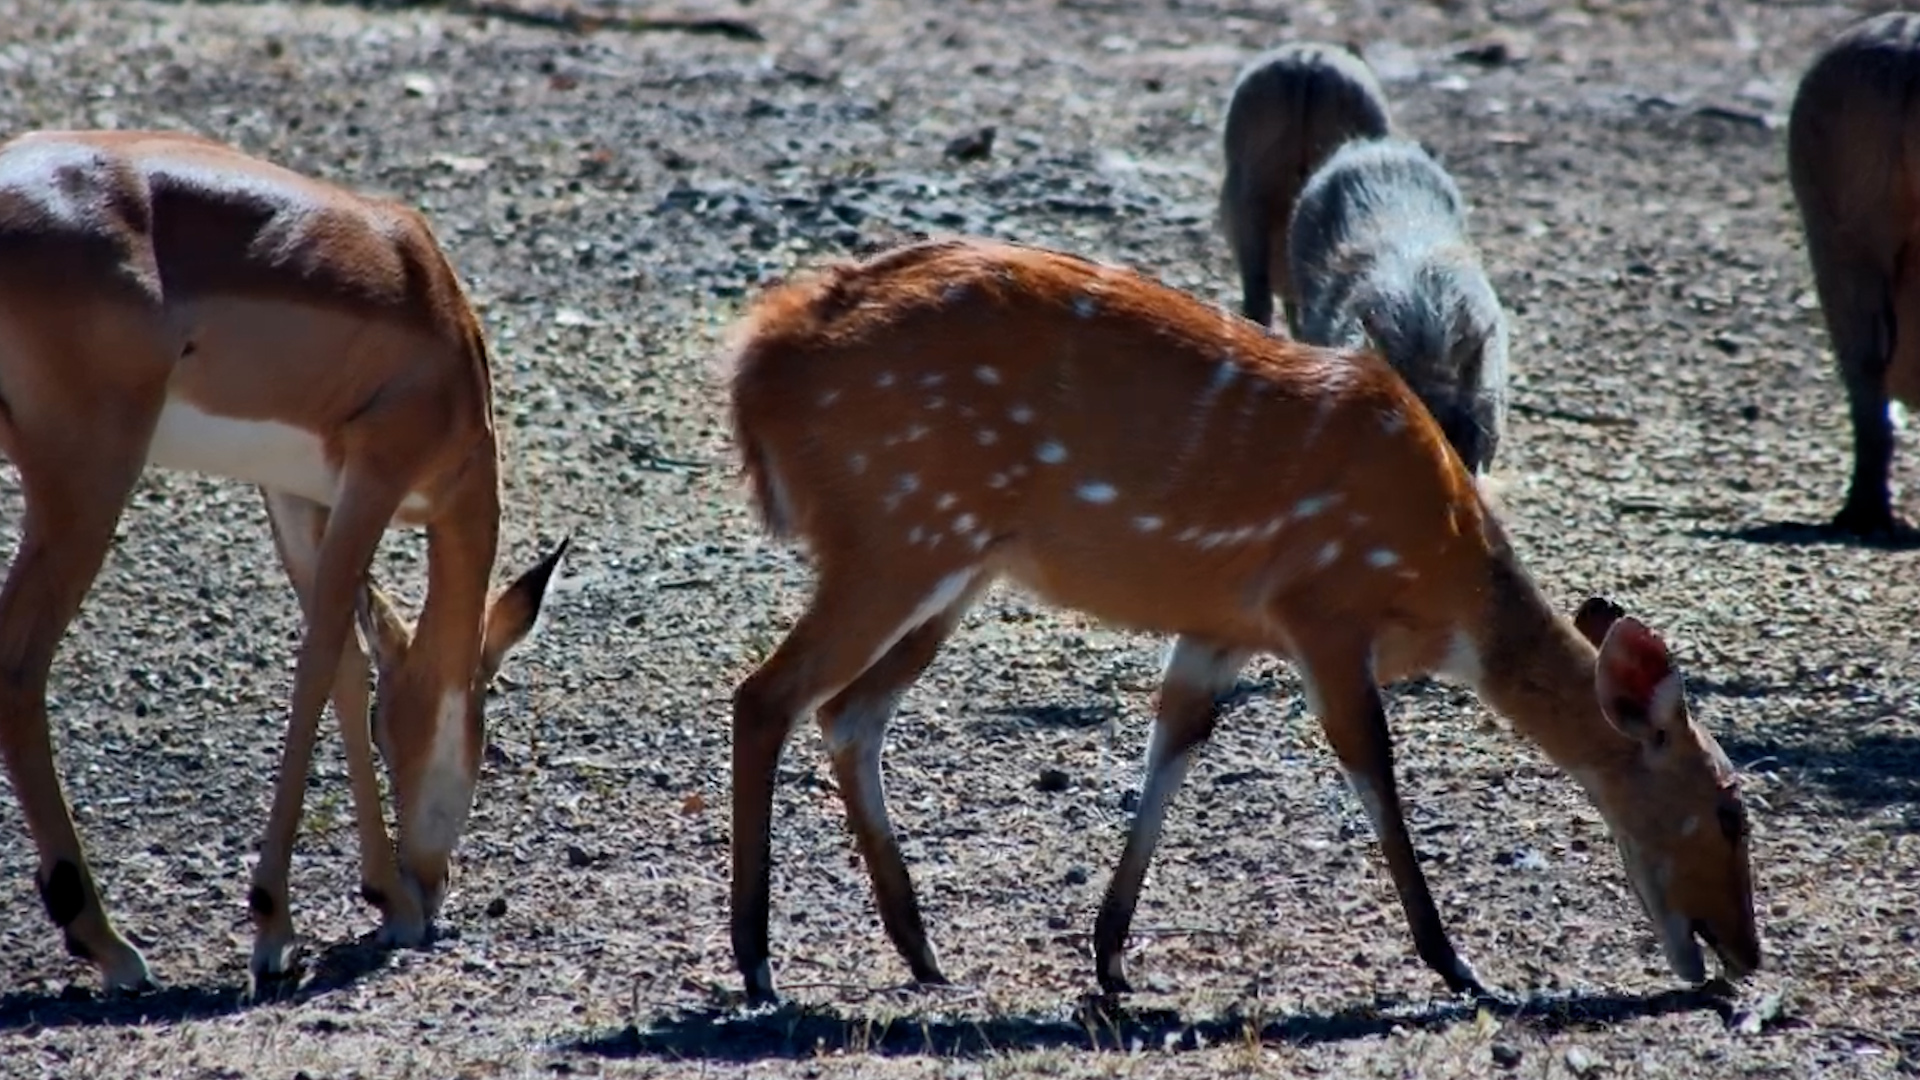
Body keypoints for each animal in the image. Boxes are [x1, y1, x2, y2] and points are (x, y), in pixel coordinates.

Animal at [0, 129, 566, 992]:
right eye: (483, 727)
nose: (433, 883)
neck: (432, 305)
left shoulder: (296, 496)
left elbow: (346, 668)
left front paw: (386, 900)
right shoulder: (375, 479)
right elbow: (319, 661)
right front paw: (276, 924)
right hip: (87, 482)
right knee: (19, 666)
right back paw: (109, 944)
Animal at [725, 237, 1759, 1005]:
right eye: (1731, 809)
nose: (1745, 957)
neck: (1442, 580)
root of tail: (759, 364)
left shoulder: (1221, 626)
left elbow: (1174, 741)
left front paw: (1109, 956)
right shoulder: (1323, 610)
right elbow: (1372, 765)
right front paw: (1459, 966)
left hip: (953, 569)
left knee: (849, 711)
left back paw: (921, 952)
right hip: (898, 539)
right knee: (767, 695)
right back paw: (758, 962)